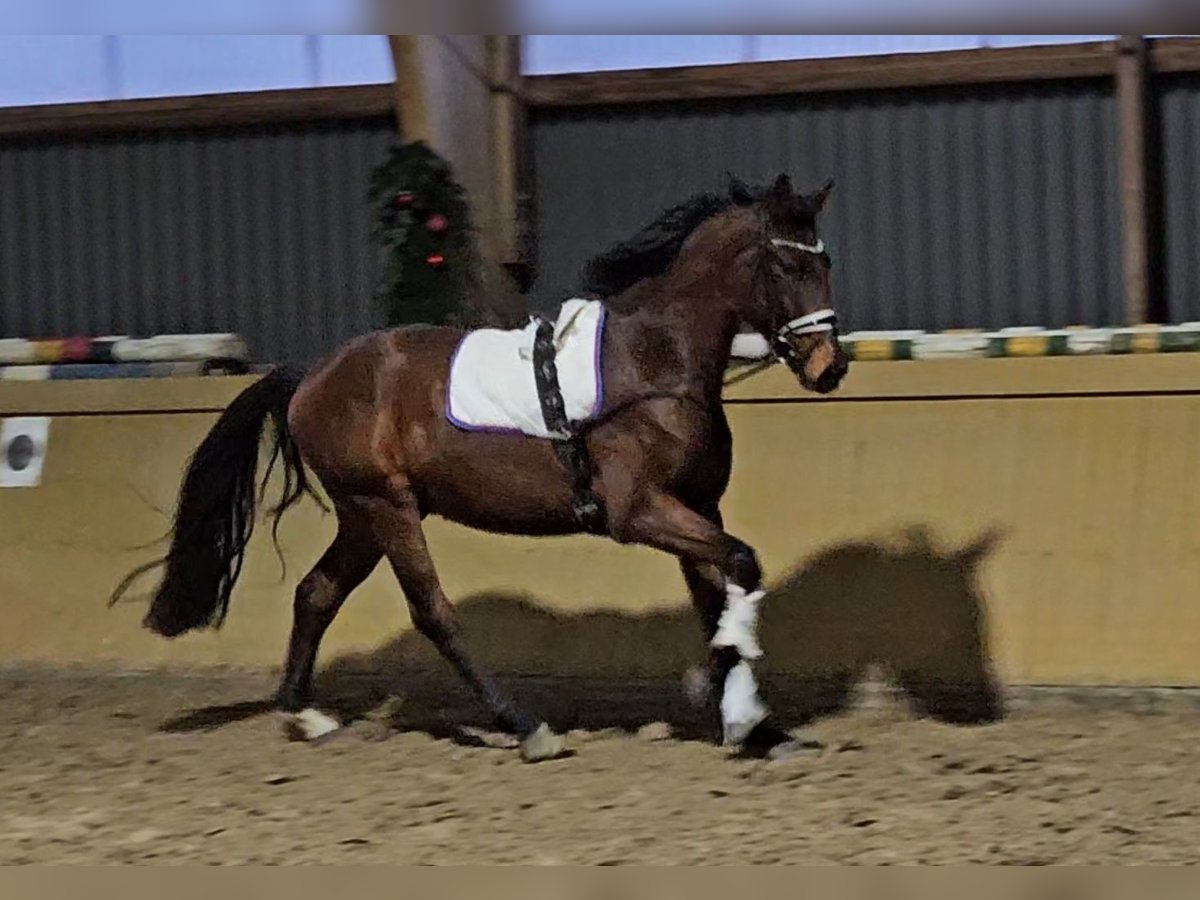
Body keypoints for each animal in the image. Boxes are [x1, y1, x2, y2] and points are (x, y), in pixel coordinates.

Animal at [110, 172, 850, 762]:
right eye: (786, 269)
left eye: (825, 262)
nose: (829, 368)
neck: (656, 365)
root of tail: (311, 376)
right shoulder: (638, 511)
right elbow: (742, 564)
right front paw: (742, 712)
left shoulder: (698, 506)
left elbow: (716, 596)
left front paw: (752, 724)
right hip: (386, 509)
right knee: (432, 612)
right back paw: (525, 727)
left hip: (364, 516)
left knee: (316, 592)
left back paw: (303, 714)